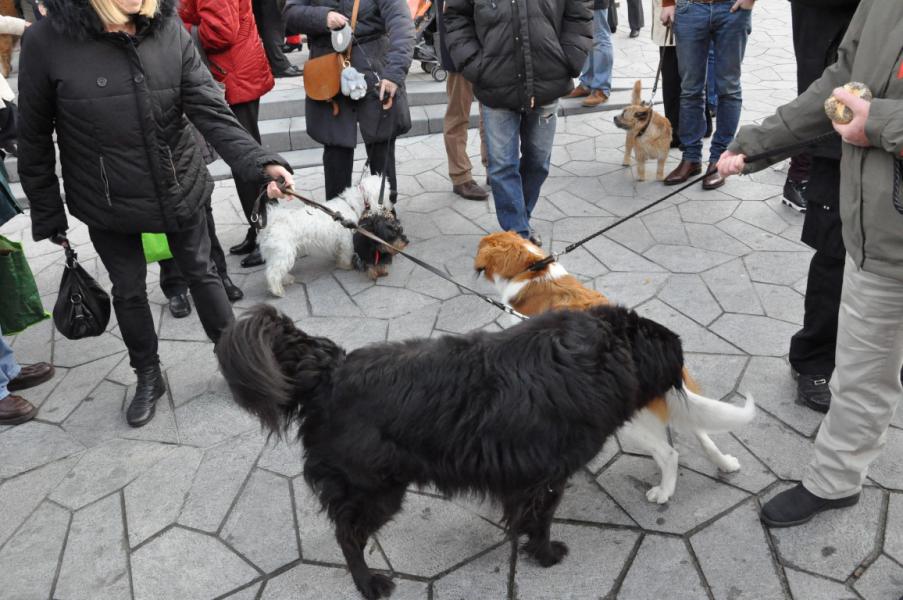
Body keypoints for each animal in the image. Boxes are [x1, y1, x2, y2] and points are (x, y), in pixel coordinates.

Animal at [217, 304, 684, 600]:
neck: (606, 350)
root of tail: (328, 373)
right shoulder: (547, 479)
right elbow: (541, 522)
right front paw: (546, 555)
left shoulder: (524, 480)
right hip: (374, 490)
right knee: (347, 536)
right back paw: (369, 585)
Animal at [474, 232, 756, 504]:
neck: (531, 269)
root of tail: (665, 362)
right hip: (681, 403)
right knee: (701, 432)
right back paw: (725, 463)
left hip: (631, 419)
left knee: (669, 454)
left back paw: (664, 492)